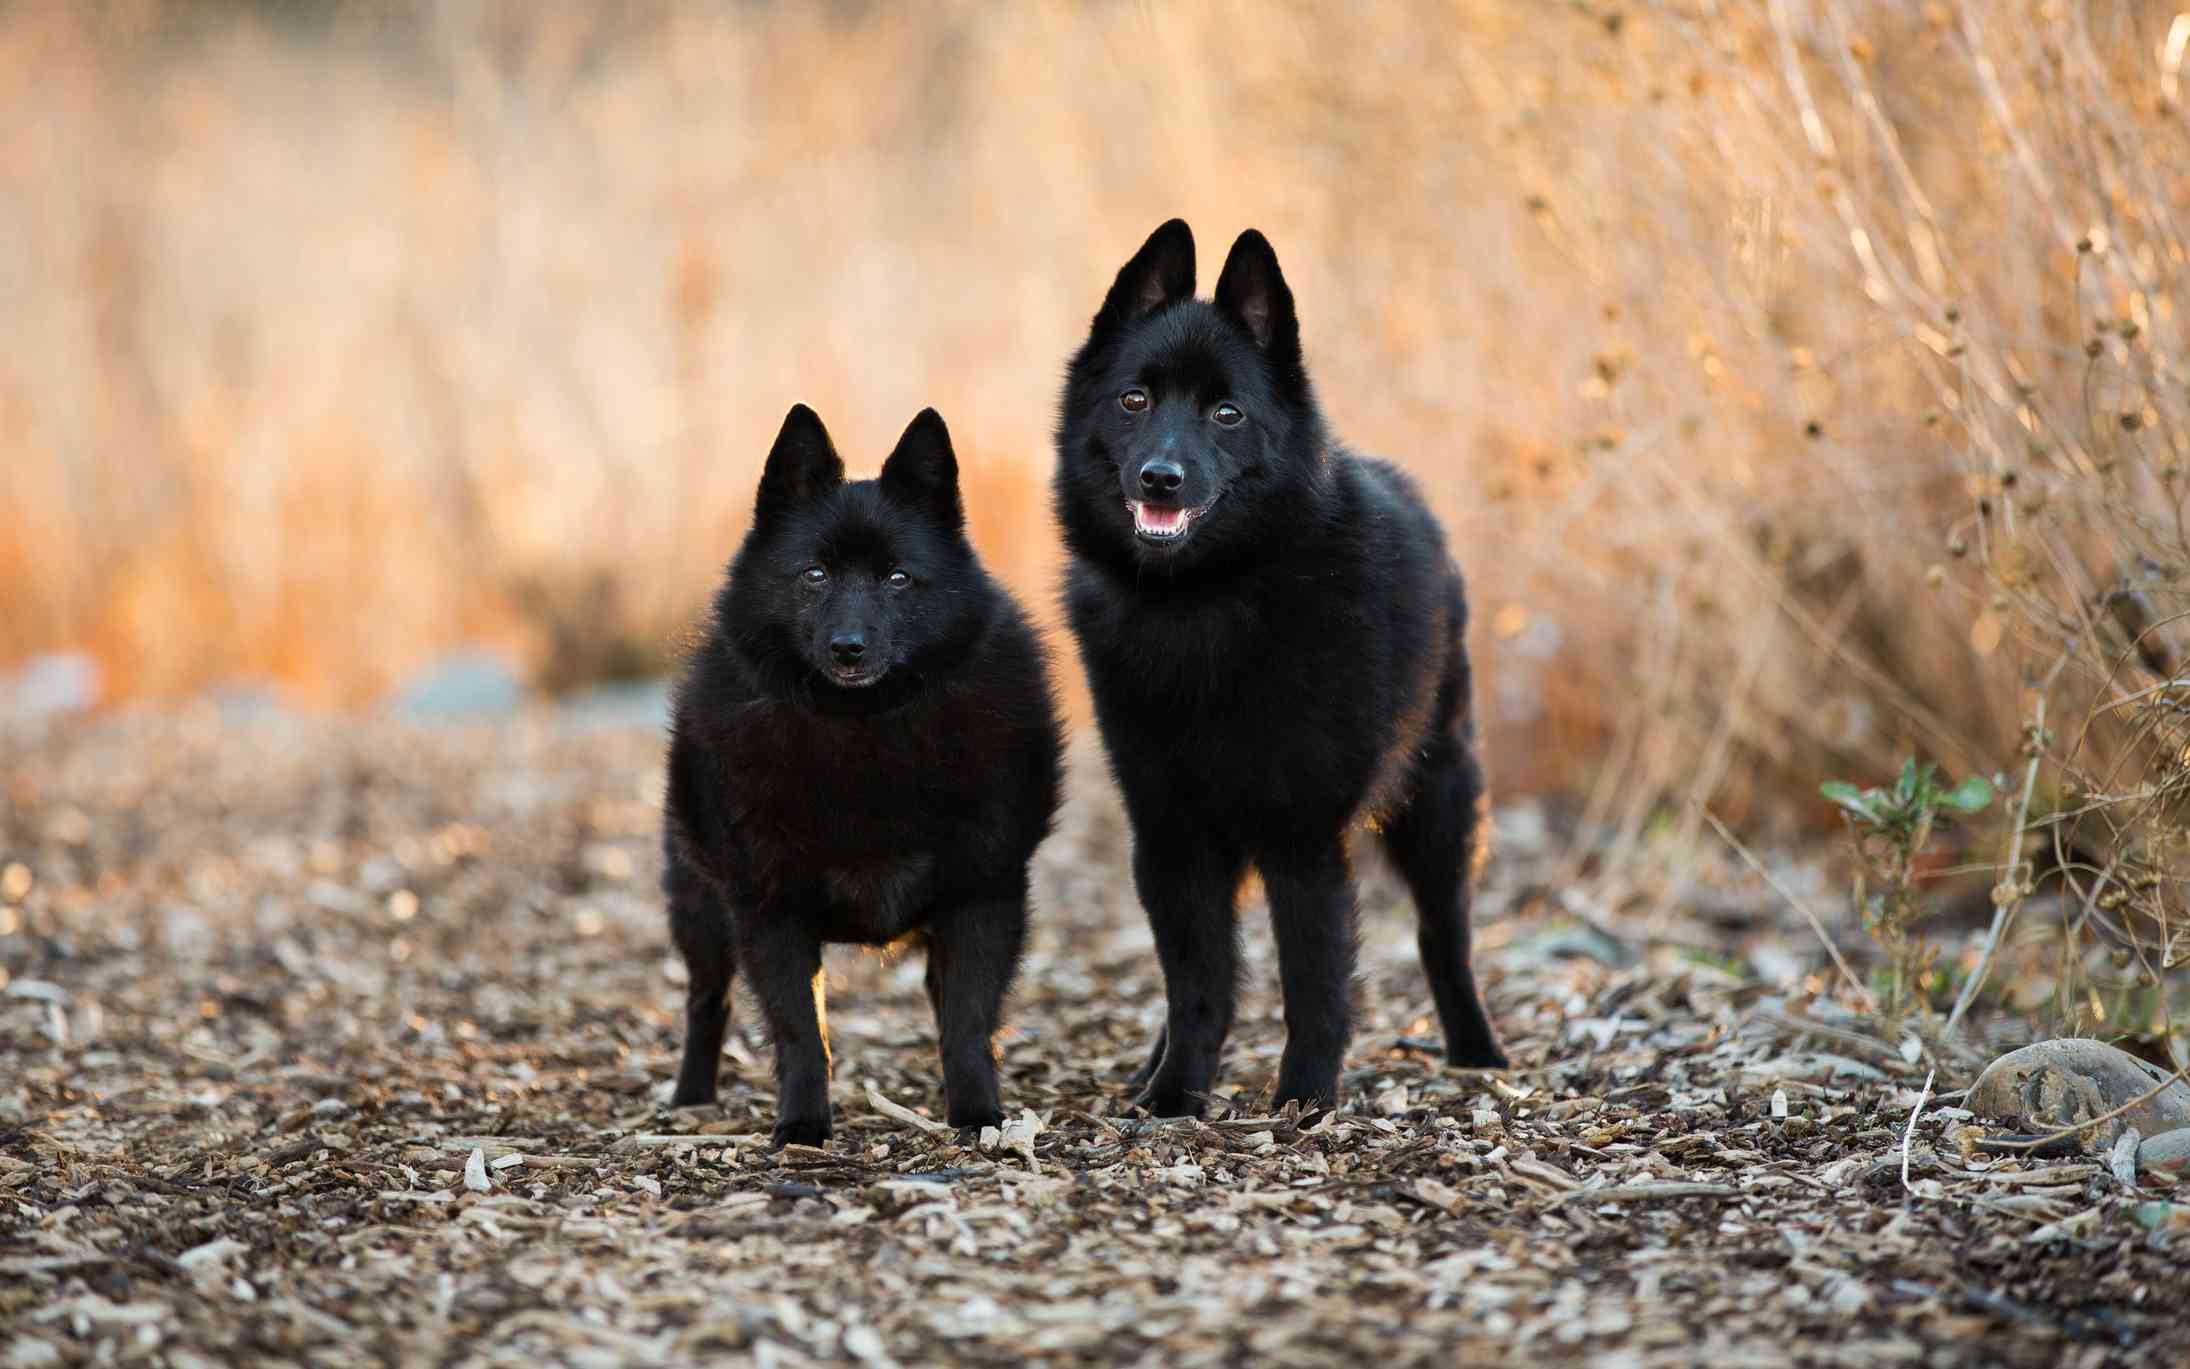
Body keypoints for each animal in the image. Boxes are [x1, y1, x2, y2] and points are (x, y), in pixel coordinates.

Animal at [657, 403, 1059, 1139]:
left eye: (898, 578)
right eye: (814, 574)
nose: (849, 648)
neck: (862, 729)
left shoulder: (983, 896)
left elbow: (967, 1022)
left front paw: (978, 1115)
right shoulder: (768, 908)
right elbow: (799, 1032)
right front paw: (802, 1126)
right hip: (699, 908)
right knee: (706, 1001)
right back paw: (691, 1098)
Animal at [1055, 219, 1506, 1117]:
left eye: (1227, 413)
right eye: (1134, 400)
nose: (1161, 476)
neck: (1202, 603)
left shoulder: (1303, 839)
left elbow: (1314, 983)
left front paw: (1304, 1097)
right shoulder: (1171, 834)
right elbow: (1198, 982)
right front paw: (1174, 1093)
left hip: (1440, 801)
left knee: (1446, 938)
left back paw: (1478, 1052)